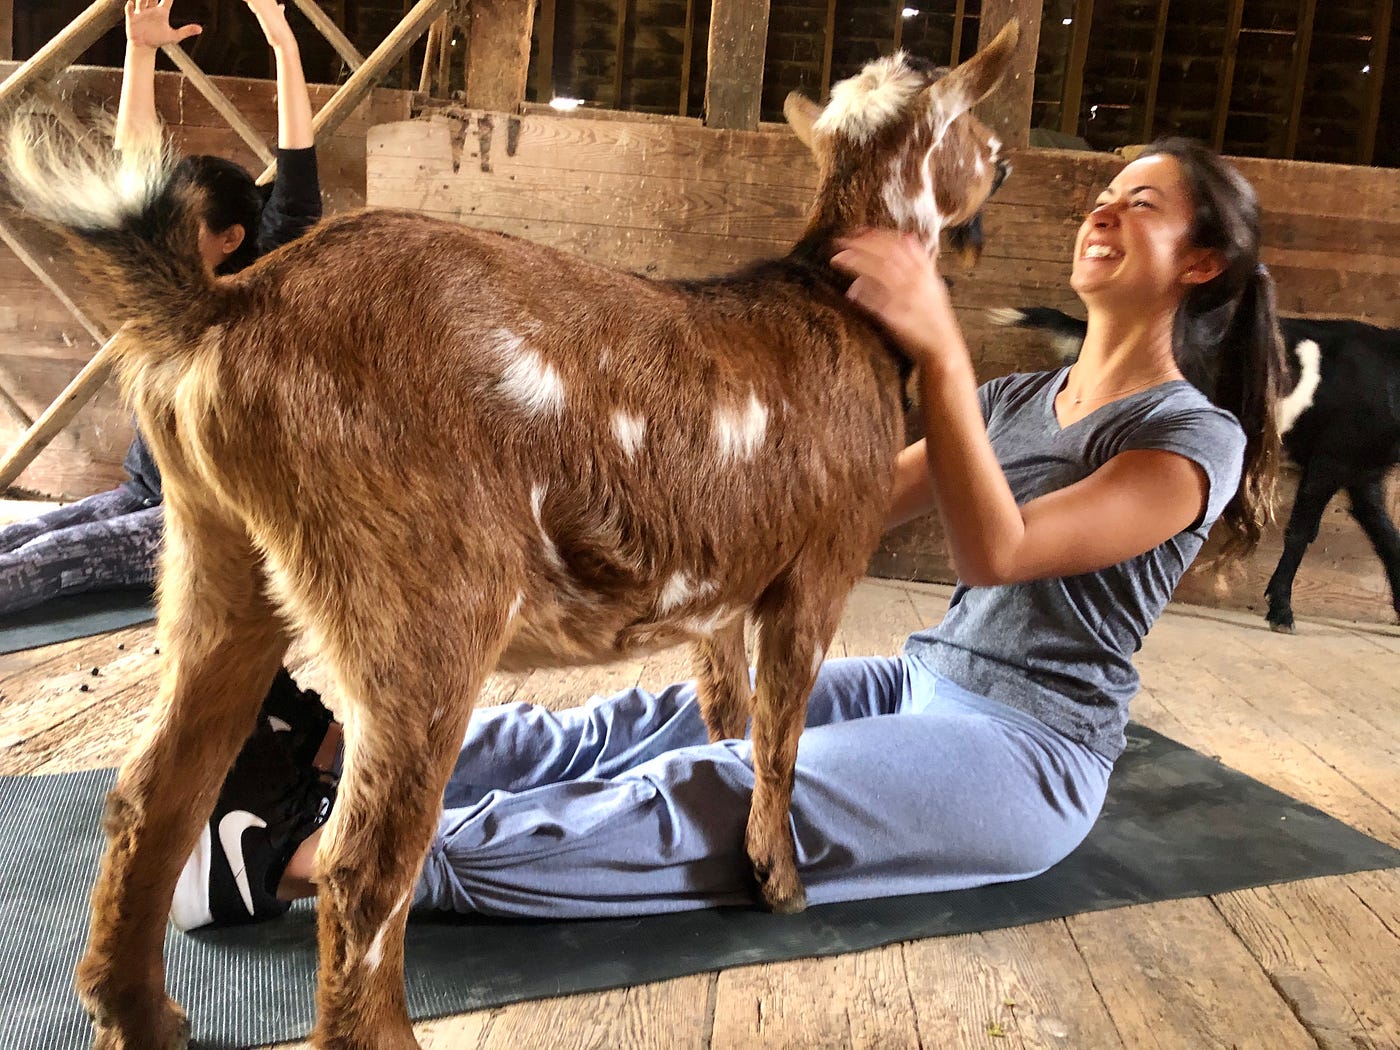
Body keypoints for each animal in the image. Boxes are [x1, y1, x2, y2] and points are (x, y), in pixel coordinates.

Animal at [6, 22, 1019, 1050]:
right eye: (981, 129)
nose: (1008, 167)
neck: (838, 301)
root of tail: (220, 309)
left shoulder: (724, 589)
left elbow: (728, 712)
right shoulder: (818, 565)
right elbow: (780, 736)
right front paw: (780, 881)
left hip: (214, 557)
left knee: (156, 789)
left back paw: (139, 1012)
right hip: (423, 598)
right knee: (361, 865)